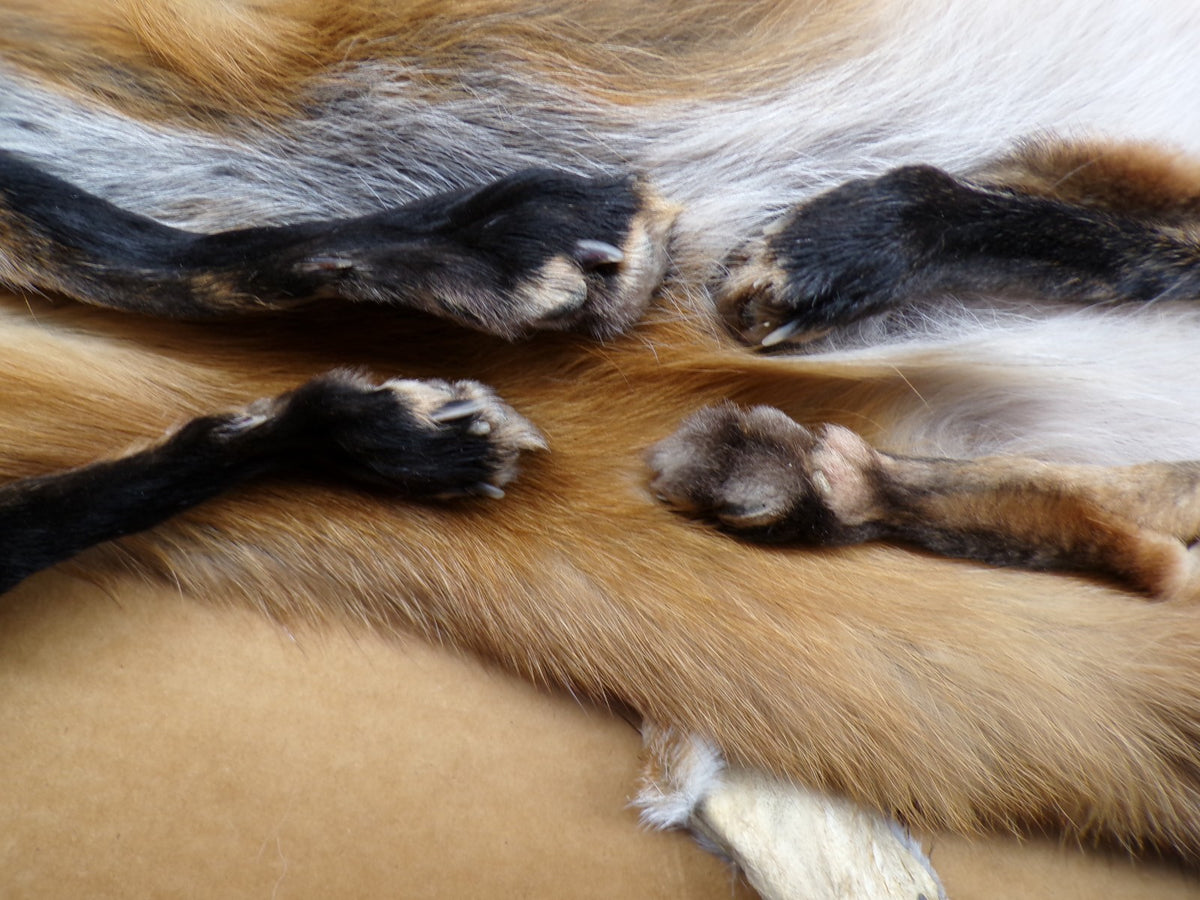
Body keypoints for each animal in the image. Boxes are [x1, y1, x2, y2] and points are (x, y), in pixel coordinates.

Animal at [5, 0, 1200, 893]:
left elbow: (180, 259)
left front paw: (481, 261)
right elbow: (183, 352)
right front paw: (397, 418)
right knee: (1132, 521)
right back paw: (798, 470)